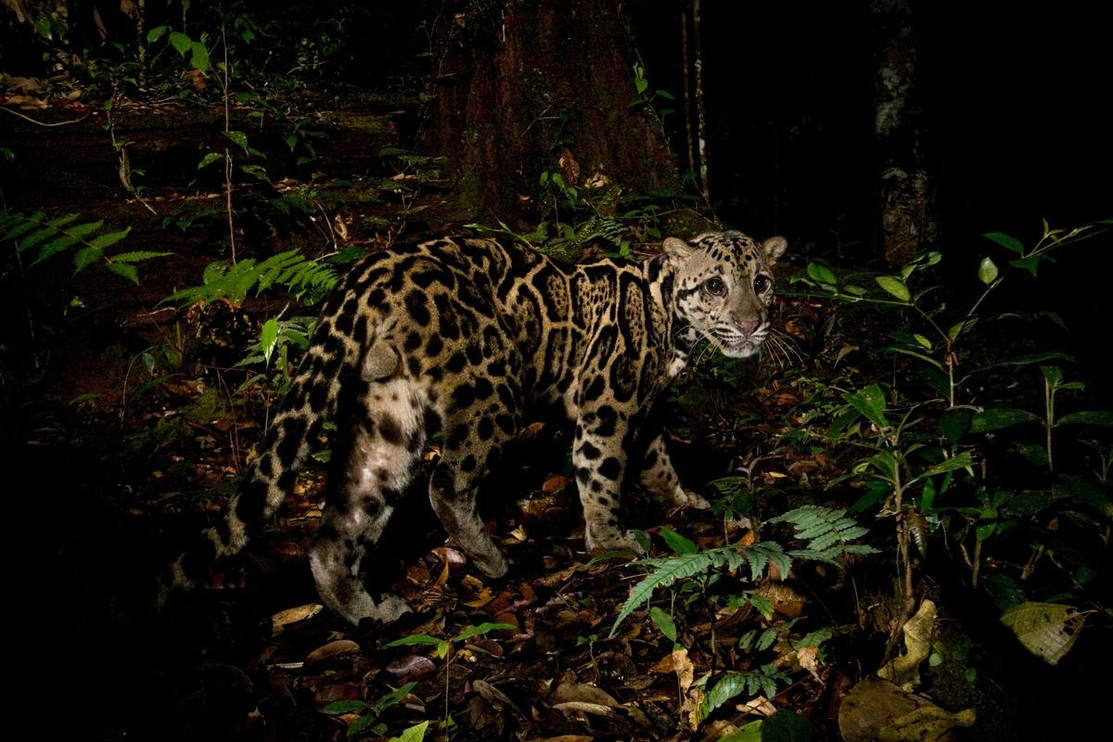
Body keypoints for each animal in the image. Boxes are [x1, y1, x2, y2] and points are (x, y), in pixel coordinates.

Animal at [168, 230, 787, 625]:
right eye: (714, 286)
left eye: (762, 282)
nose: (751, 324)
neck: (670, 323)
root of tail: (371, 271)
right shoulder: (606, 403)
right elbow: (602, 472)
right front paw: (611, 542)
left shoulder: (647, 408)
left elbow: (658, 462)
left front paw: (686, 501)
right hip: (493, 385)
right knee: (446, 483)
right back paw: (490, 559)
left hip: (386, 414)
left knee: (343, 524)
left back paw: (367, 611)